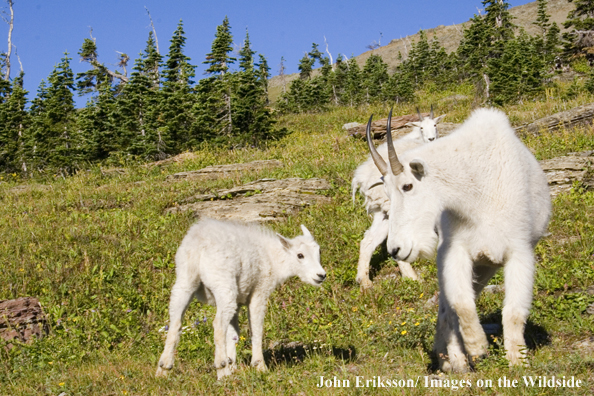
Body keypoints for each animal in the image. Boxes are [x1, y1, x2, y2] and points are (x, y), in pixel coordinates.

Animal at [155, 218, 326, 378]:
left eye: (319, 252)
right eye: (300, 255)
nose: (321, 275)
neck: (273, 259)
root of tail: (199, 246)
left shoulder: (237, 302)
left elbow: (233, 334)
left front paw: (233, 365)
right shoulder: (259, 291)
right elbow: (256, 329)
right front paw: (259, 366)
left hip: (185, 280)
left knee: (176, 322)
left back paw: (163, 369)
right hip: (223, 284)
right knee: (218, 324)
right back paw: (221, 369)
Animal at [352, 108, 444, 288]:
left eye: (435, 125)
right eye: (422, 127)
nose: (431, 138)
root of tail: (363, 178)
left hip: (384, 213)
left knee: (369, 241)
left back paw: (364, 281)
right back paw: (412, 277)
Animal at [366, 107, 552, 372]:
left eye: (408, 185)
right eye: (387, 192)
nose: (395, 248)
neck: (478, 192)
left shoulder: (519, 253)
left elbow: (513, 312)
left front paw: (518, 362)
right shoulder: (454, 250)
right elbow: (461, 304)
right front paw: (477, 348)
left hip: (486, 267)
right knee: (447, 307)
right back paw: (453, 360)